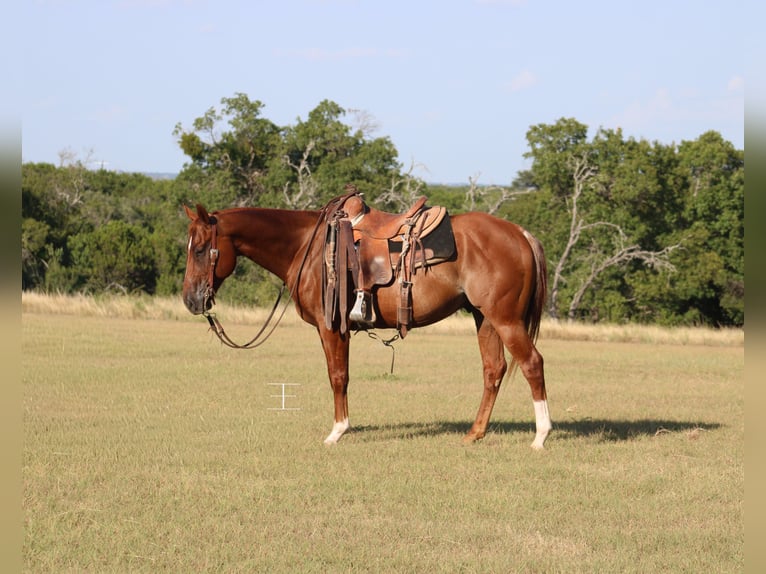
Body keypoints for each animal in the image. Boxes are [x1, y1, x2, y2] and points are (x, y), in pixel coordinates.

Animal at [182, 194, 552, 449]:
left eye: (199, 249)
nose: (190, 300)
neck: (307, 248)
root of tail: (521, 234)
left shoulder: (332, 327)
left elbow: (338, 376)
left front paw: (337, 431)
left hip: (506, 319)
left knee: (532, 363)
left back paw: (541, 436)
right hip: (484, 317)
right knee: (494, 369)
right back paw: (475, 433)